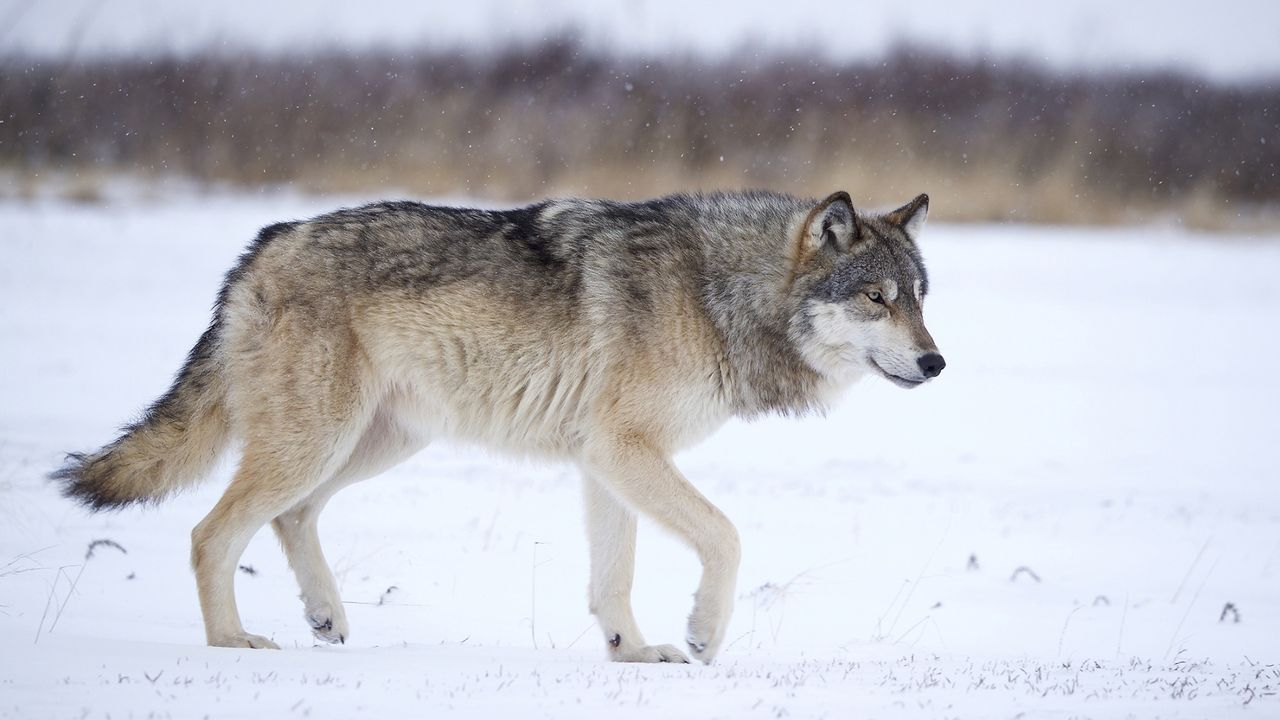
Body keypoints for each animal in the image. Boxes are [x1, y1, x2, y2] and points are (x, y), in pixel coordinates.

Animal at [55, 190, 947, 661]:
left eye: (920, 297)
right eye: (876, 298)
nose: (937, 363)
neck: (718, 292)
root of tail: (264, 242)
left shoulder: (605, 462)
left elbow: (613, 579)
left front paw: (635, 654)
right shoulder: (625, 450)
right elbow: (725, 537)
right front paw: (700, 632)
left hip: (373, 443)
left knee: (291, 517)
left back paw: (325, 619)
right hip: (318, 442)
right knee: (211, 532)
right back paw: (232, 643)